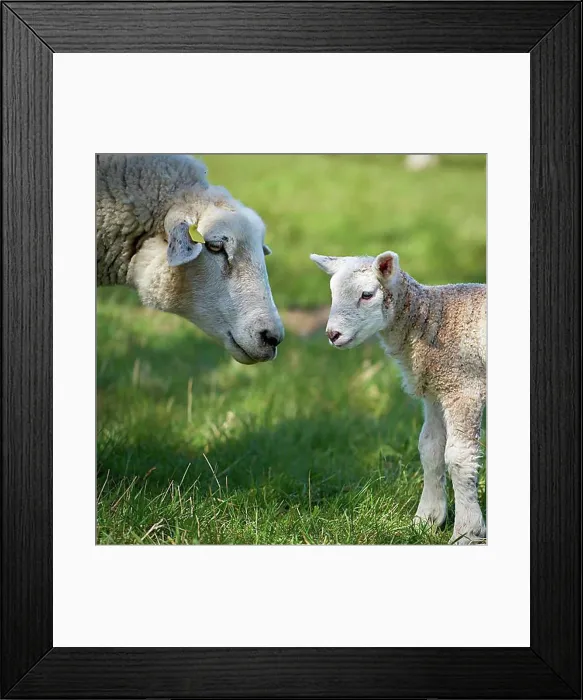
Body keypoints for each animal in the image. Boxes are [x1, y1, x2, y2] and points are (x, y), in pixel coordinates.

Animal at [310, 251, 486, 544]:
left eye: (367, 294)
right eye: (332, 293)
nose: (332, 334)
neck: (435, 318)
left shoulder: (464, 387)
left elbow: (459, 458)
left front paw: (467, 532)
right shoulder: (436, 391)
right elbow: (430, 449)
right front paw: (427, 520)